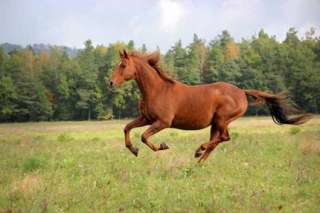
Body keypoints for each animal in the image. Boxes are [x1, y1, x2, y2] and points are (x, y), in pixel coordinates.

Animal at [108, 50, 312, 163]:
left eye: (123, 65)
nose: (110, 82)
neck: (157, 89)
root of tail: (241, 92)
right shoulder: (146, 118)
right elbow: (127, 128)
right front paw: (133, 150)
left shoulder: (163, 122)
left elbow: (143, 136)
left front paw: (162, 146)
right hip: (217, 122)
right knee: (218, 140)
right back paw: (198, 161)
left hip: (222, 119)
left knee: (223, 138)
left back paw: (199, 150)